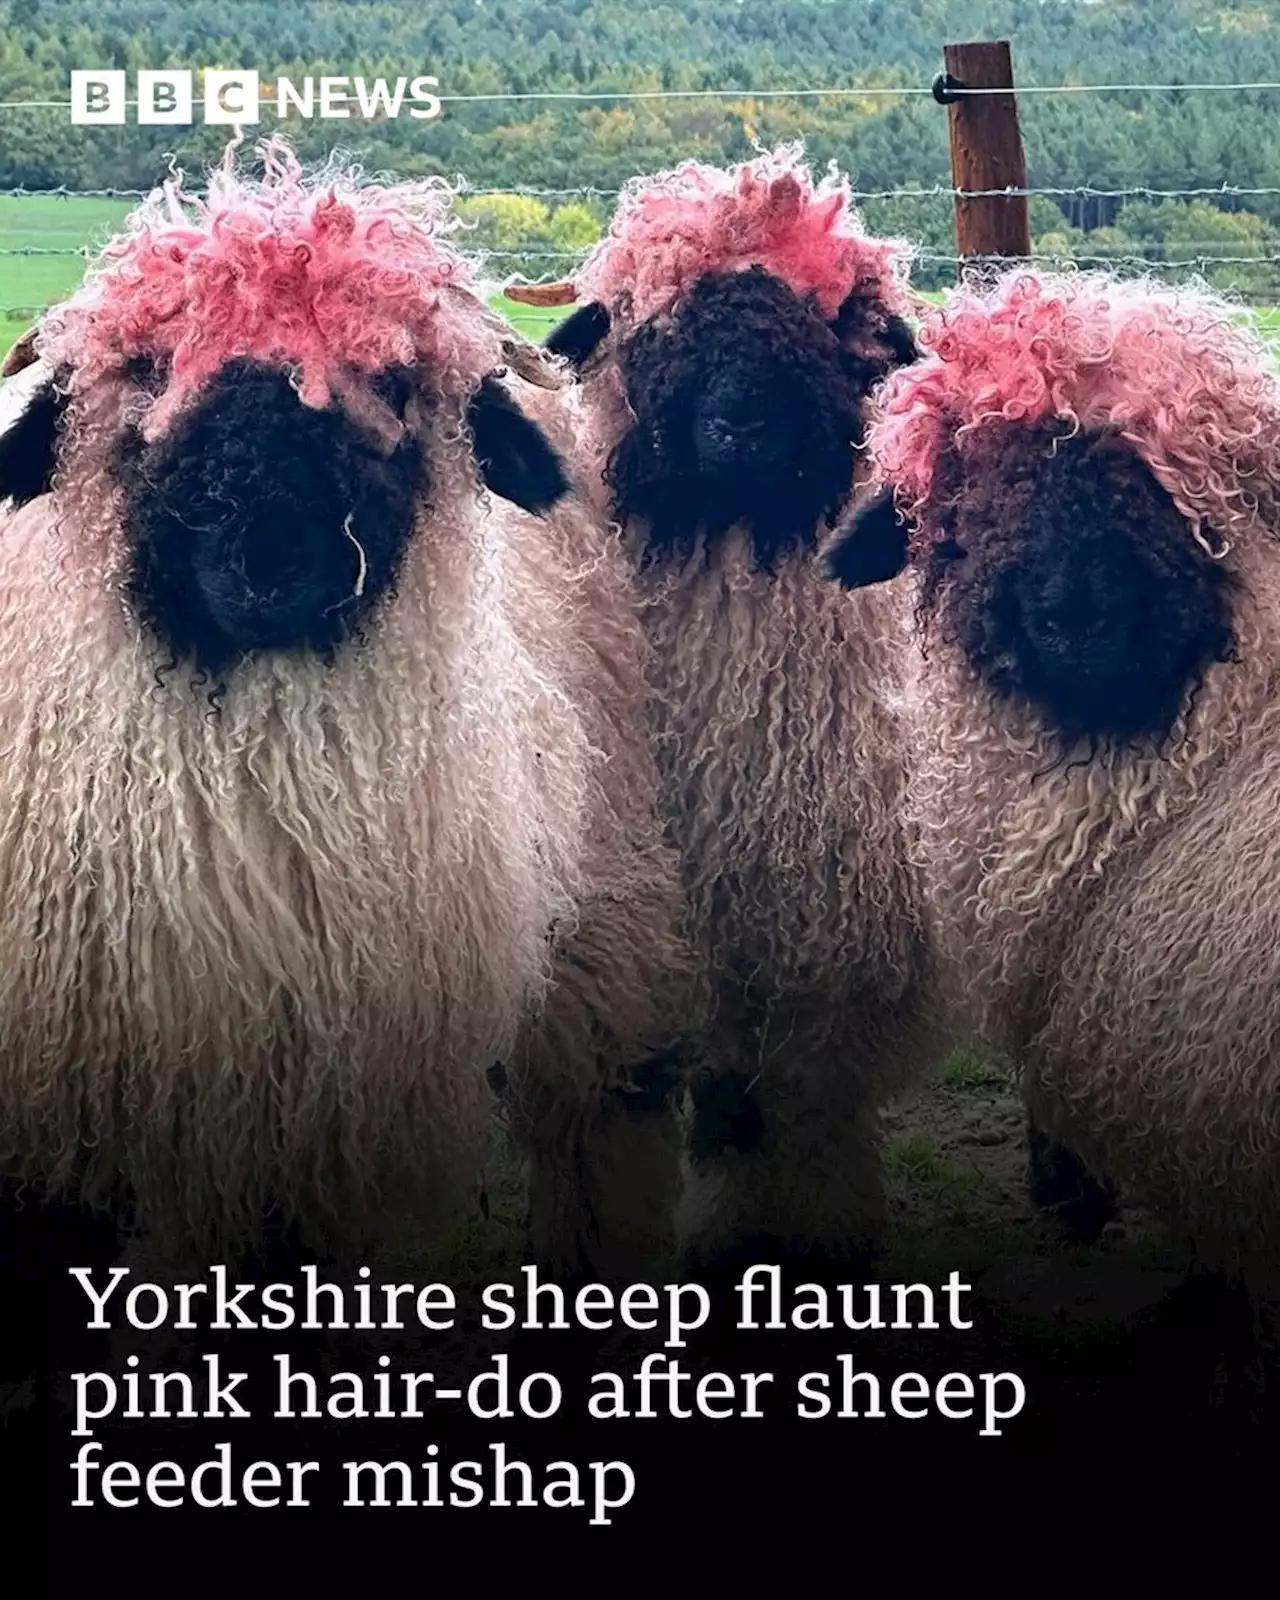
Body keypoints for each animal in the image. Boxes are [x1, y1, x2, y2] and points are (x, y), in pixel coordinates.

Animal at [508, 150, 940, 1273]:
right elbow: (651, 1091)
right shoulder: (645, 922)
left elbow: (794, 1091)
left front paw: (811, 1233)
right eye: (655, 321)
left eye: (830, 320)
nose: (742, 423)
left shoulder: (816, 902)